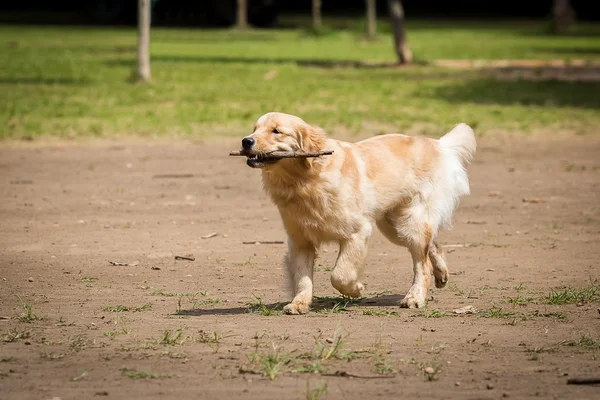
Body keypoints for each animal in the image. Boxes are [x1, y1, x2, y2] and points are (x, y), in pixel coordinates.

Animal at [239, 111, 478, 314]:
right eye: (255, 128)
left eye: (276, 131)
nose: (246, 141)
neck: (304, 181)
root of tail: (437, 144)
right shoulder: (300, 240)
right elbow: (302, 277)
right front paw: (299, 303)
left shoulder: (357, 232)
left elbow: (340, 274)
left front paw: (356, 289)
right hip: (394, 227)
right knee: (433, 245)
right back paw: (441, 274)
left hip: (411, 222)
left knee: (423, 264)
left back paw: (415, 297)